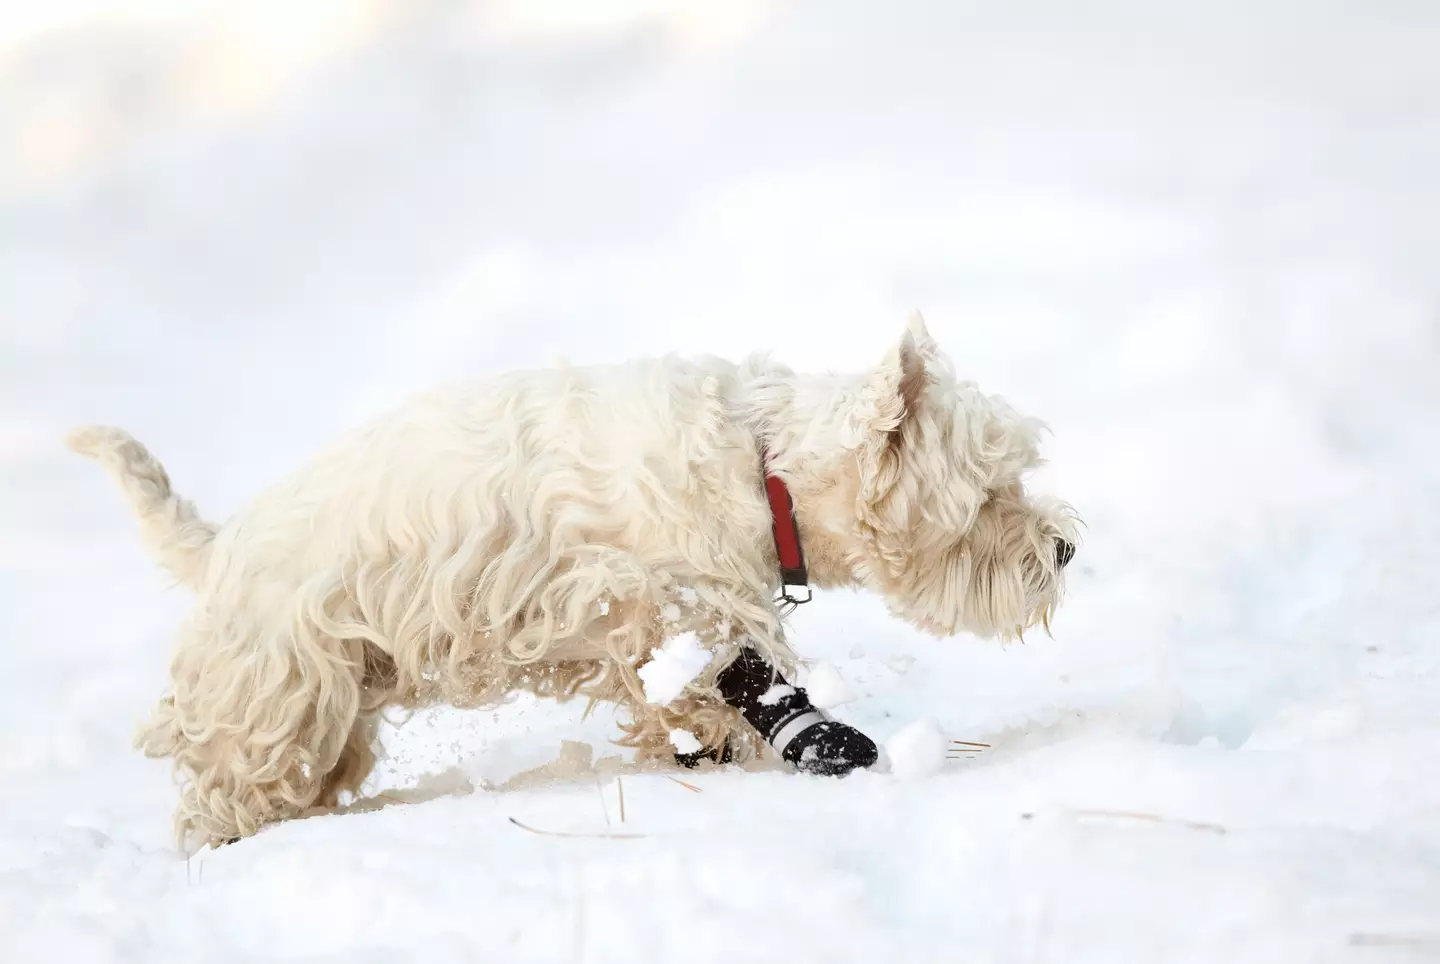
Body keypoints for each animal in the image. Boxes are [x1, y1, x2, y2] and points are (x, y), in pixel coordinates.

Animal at [70, 312, 1082, 847]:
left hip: (336, 696)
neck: (765, 469)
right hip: (278, 693)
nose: (1065, 550)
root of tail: (219, 545)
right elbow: (738, 672)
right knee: (228, 780)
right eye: (990, 495)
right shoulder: (668, 595)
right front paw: (812, 742)